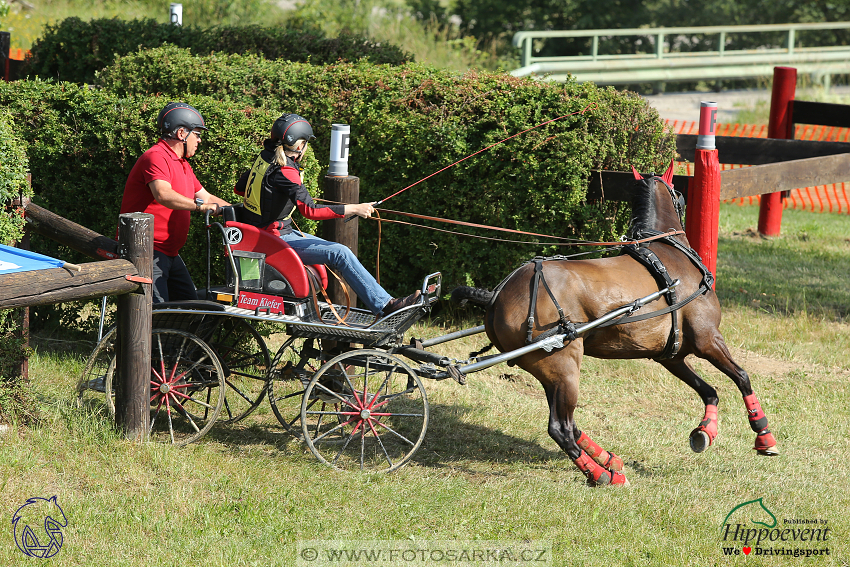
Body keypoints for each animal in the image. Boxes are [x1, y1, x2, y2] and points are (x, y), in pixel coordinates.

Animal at [454, 165, 780, 488]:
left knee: (570, 425)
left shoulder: (671, 355)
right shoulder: (708, 339)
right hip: (564, 365)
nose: (681, 200)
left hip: (549, 372)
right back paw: (602, 474)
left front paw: (706, 430)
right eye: (678, 192)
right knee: (560, 427)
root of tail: (496, 296)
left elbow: (709, 391)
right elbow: (742, 377)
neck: (669, 256)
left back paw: (607, 459)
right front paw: (763, 433)